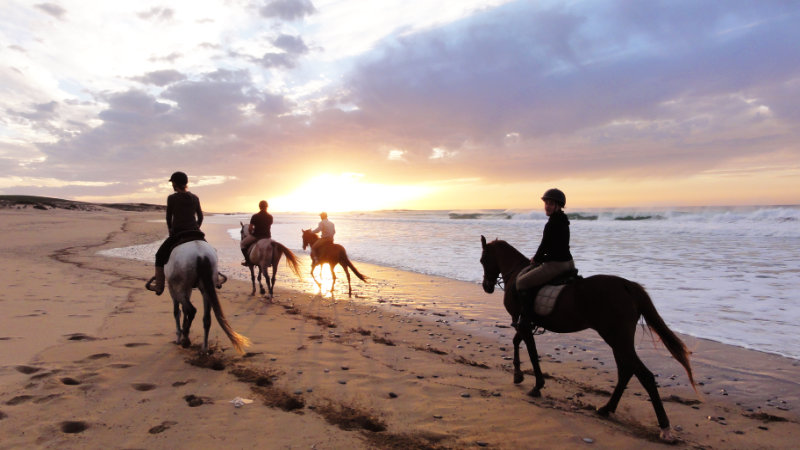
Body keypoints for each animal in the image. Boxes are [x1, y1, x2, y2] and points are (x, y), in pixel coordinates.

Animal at [479, 236, 696, 441]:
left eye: (483, 260)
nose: (487, 287)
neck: (516, 273)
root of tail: (626, 285)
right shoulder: (524, 324)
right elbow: (517, 342)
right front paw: (518, 375)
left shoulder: (521, 322)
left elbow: (530, 352)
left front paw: (536, 385)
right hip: (618, 340)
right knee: (626, 371)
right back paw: (607, 409)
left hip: (615, 337)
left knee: (644, 375)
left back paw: (664, 428)